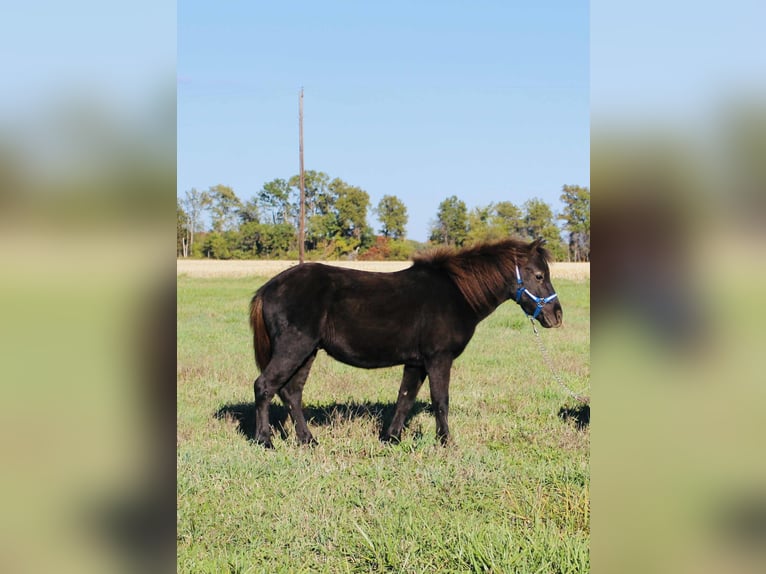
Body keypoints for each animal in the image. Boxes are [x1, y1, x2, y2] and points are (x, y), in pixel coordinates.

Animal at [248, 237, 562, 448]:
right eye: (539, 275)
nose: (556, 316)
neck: (457, 293)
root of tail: (268, 288)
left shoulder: (416, 362)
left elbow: (405, 398)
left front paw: (391, 438)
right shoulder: (438, 358)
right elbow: (440, 400)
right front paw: (446, 442)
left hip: (307, 352)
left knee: (291, 393)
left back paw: (307, 440)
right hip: (294, 348)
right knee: (265, 386)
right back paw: (265, 440)